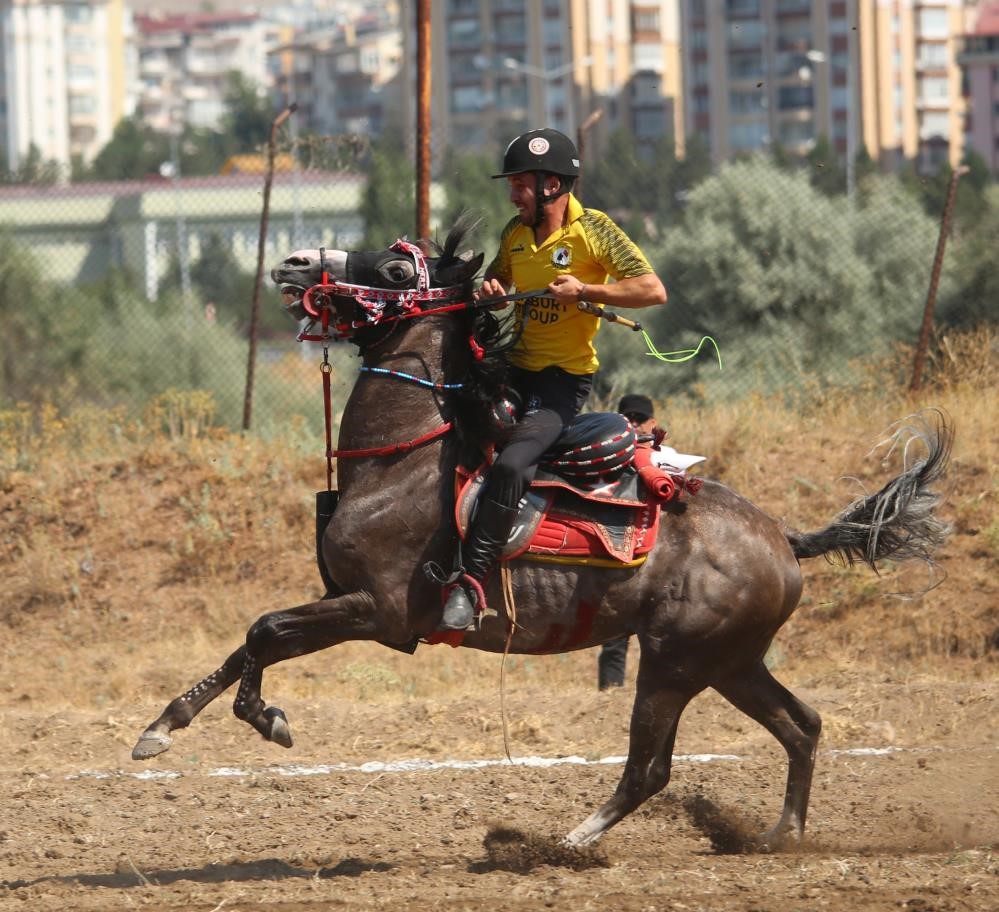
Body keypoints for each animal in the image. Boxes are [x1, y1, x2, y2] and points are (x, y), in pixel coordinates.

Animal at [133, 219, 952, 848]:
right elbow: (249, 640)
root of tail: (781, 537)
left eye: (396, 266)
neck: (404, 460)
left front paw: (259, 718)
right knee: (801, 725)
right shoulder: (347, 603)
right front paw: (172, 723)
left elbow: (267, 630)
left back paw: (572, 840)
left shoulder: (382, 611)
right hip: (730, 661)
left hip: (675, 662)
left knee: (651, 768)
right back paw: (782, 835)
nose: (298, 261)